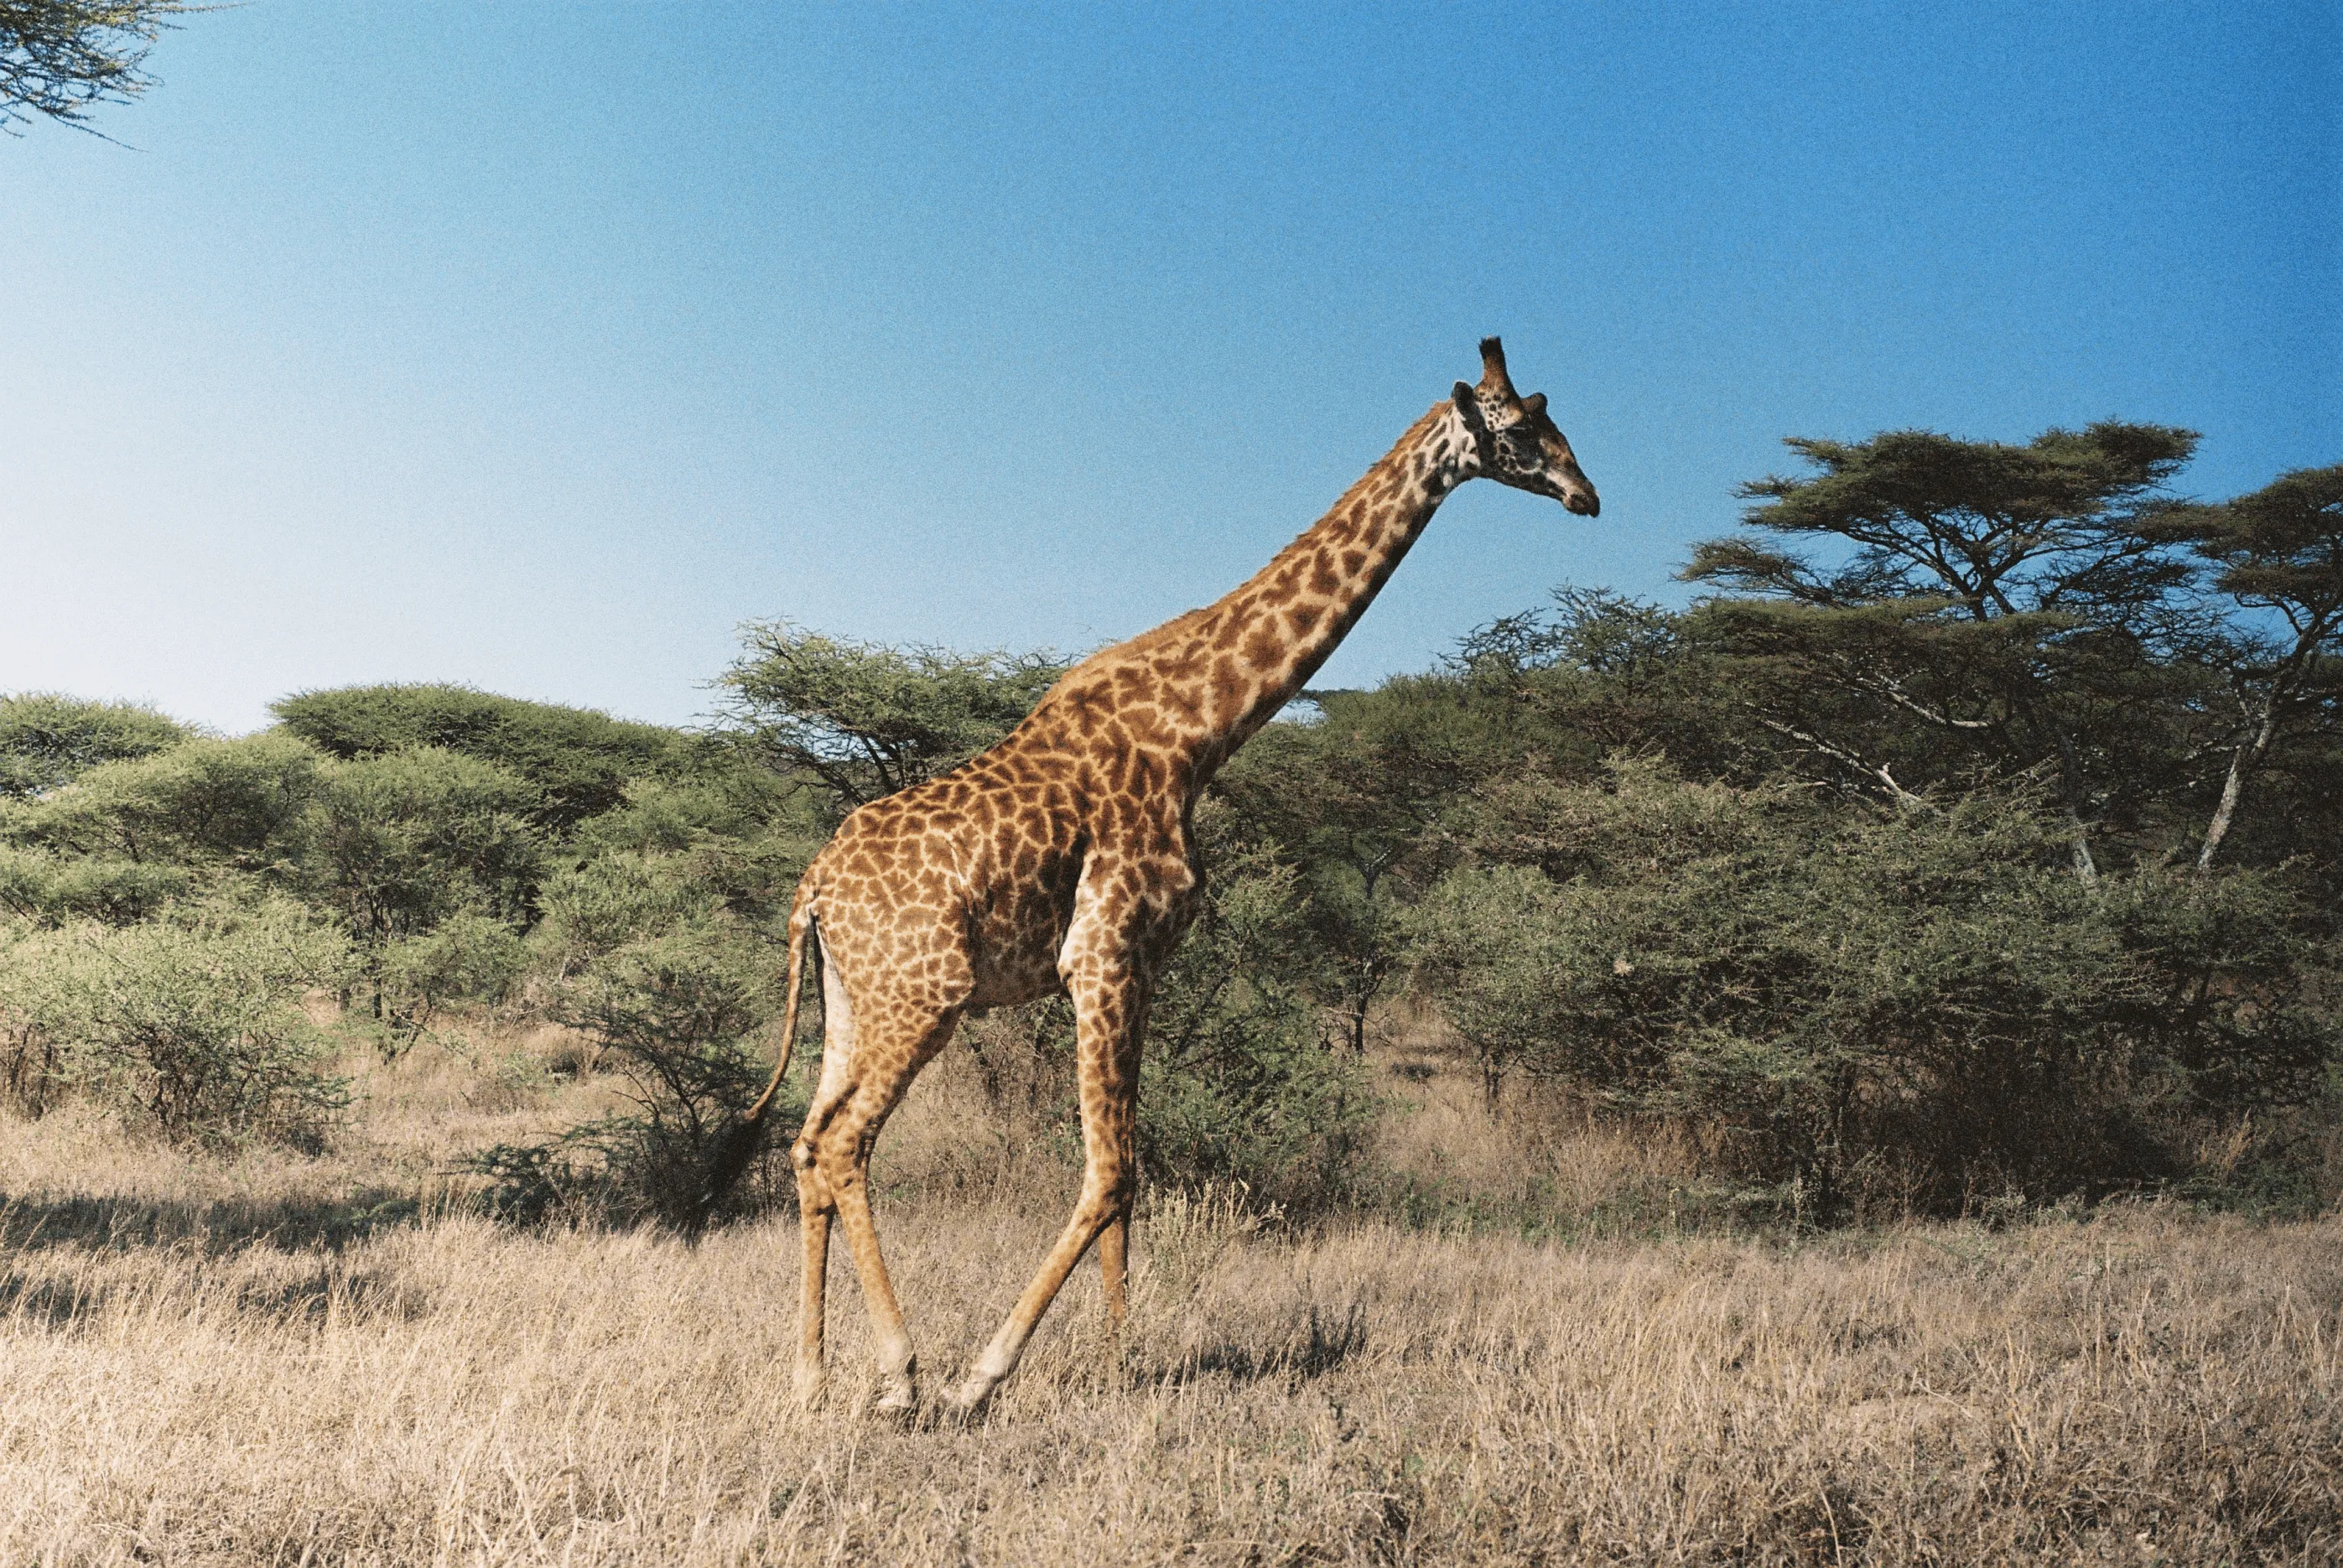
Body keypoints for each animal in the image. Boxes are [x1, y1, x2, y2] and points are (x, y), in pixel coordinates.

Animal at [718, 338, 1599, 1416]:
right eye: (1522, 430)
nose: (1586, 494)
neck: (1201, 729)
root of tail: (811, 890)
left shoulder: (1140, 963)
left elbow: (1128, 1177)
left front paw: (1121, 1360)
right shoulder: (1103, 951)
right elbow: (1111, 1172)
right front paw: (988, 1373)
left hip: (858, 994)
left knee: (807, 1144)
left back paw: (809, 1374)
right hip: (928, 992)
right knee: (846, 1144)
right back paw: (902, 1374)